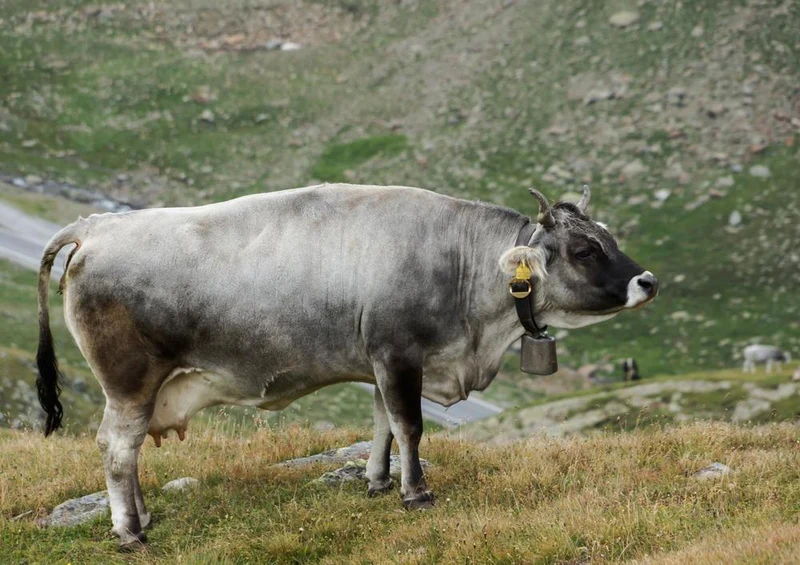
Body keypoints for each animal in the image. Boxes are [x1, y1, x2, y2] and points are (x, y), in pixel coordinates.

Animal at [36, 183, 658, 548]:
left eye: (608, 237)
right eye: (584, 250)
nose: (647, 281)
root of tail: (96, 225)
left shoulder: (381, 361)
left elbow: (382, 423)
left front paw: (378, 482)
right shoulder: (399, 354)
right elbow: (410, 426)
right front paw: (415, 493)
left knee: (128, 451)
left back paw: (143, 516)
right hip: (129, 382)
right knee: (117, 449)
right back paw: (129, 532)